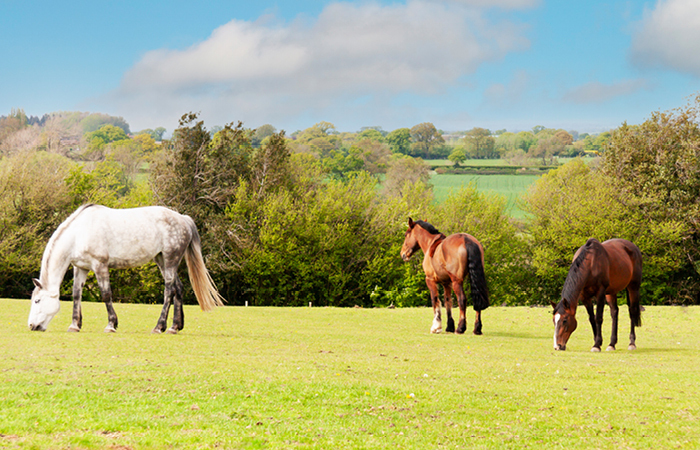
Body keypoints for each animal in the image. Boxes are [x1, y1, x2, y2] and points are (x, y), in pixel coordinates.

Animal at [28, 204, 225, 333]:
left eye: (37, 301)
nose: (31, 326)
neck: (79, 233)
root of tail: (183, 219)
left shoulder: (100, 266)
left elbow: (106, 294)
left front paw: (111, 325)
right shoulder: (81, 268)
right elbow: (77, 294)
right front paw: (75, 325)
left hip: (170, 260)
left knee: (169, 290)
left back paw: (159, 327)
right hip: (161, 260)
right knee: (178, 288)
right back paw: (174, 327)